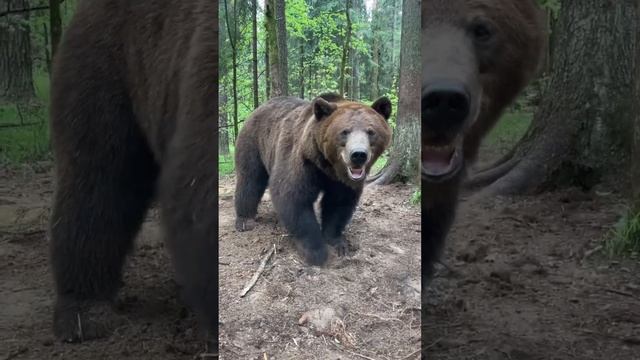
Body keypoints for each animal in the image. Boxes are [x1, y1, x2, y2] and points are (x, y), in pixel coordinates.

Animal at [235, 94, 392, 264]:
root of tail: (260, 107)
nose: (358, 154)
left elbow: (339, 204)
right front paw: (315, 251)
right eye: (345, 131)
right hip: (254, 142)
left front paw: (338, 242)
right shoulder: (303, 162)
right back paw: (244, 220)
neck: (328, 168)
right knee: (250, 179)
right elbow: (293, 198)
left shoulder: (341, 182)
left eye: (371, 131)